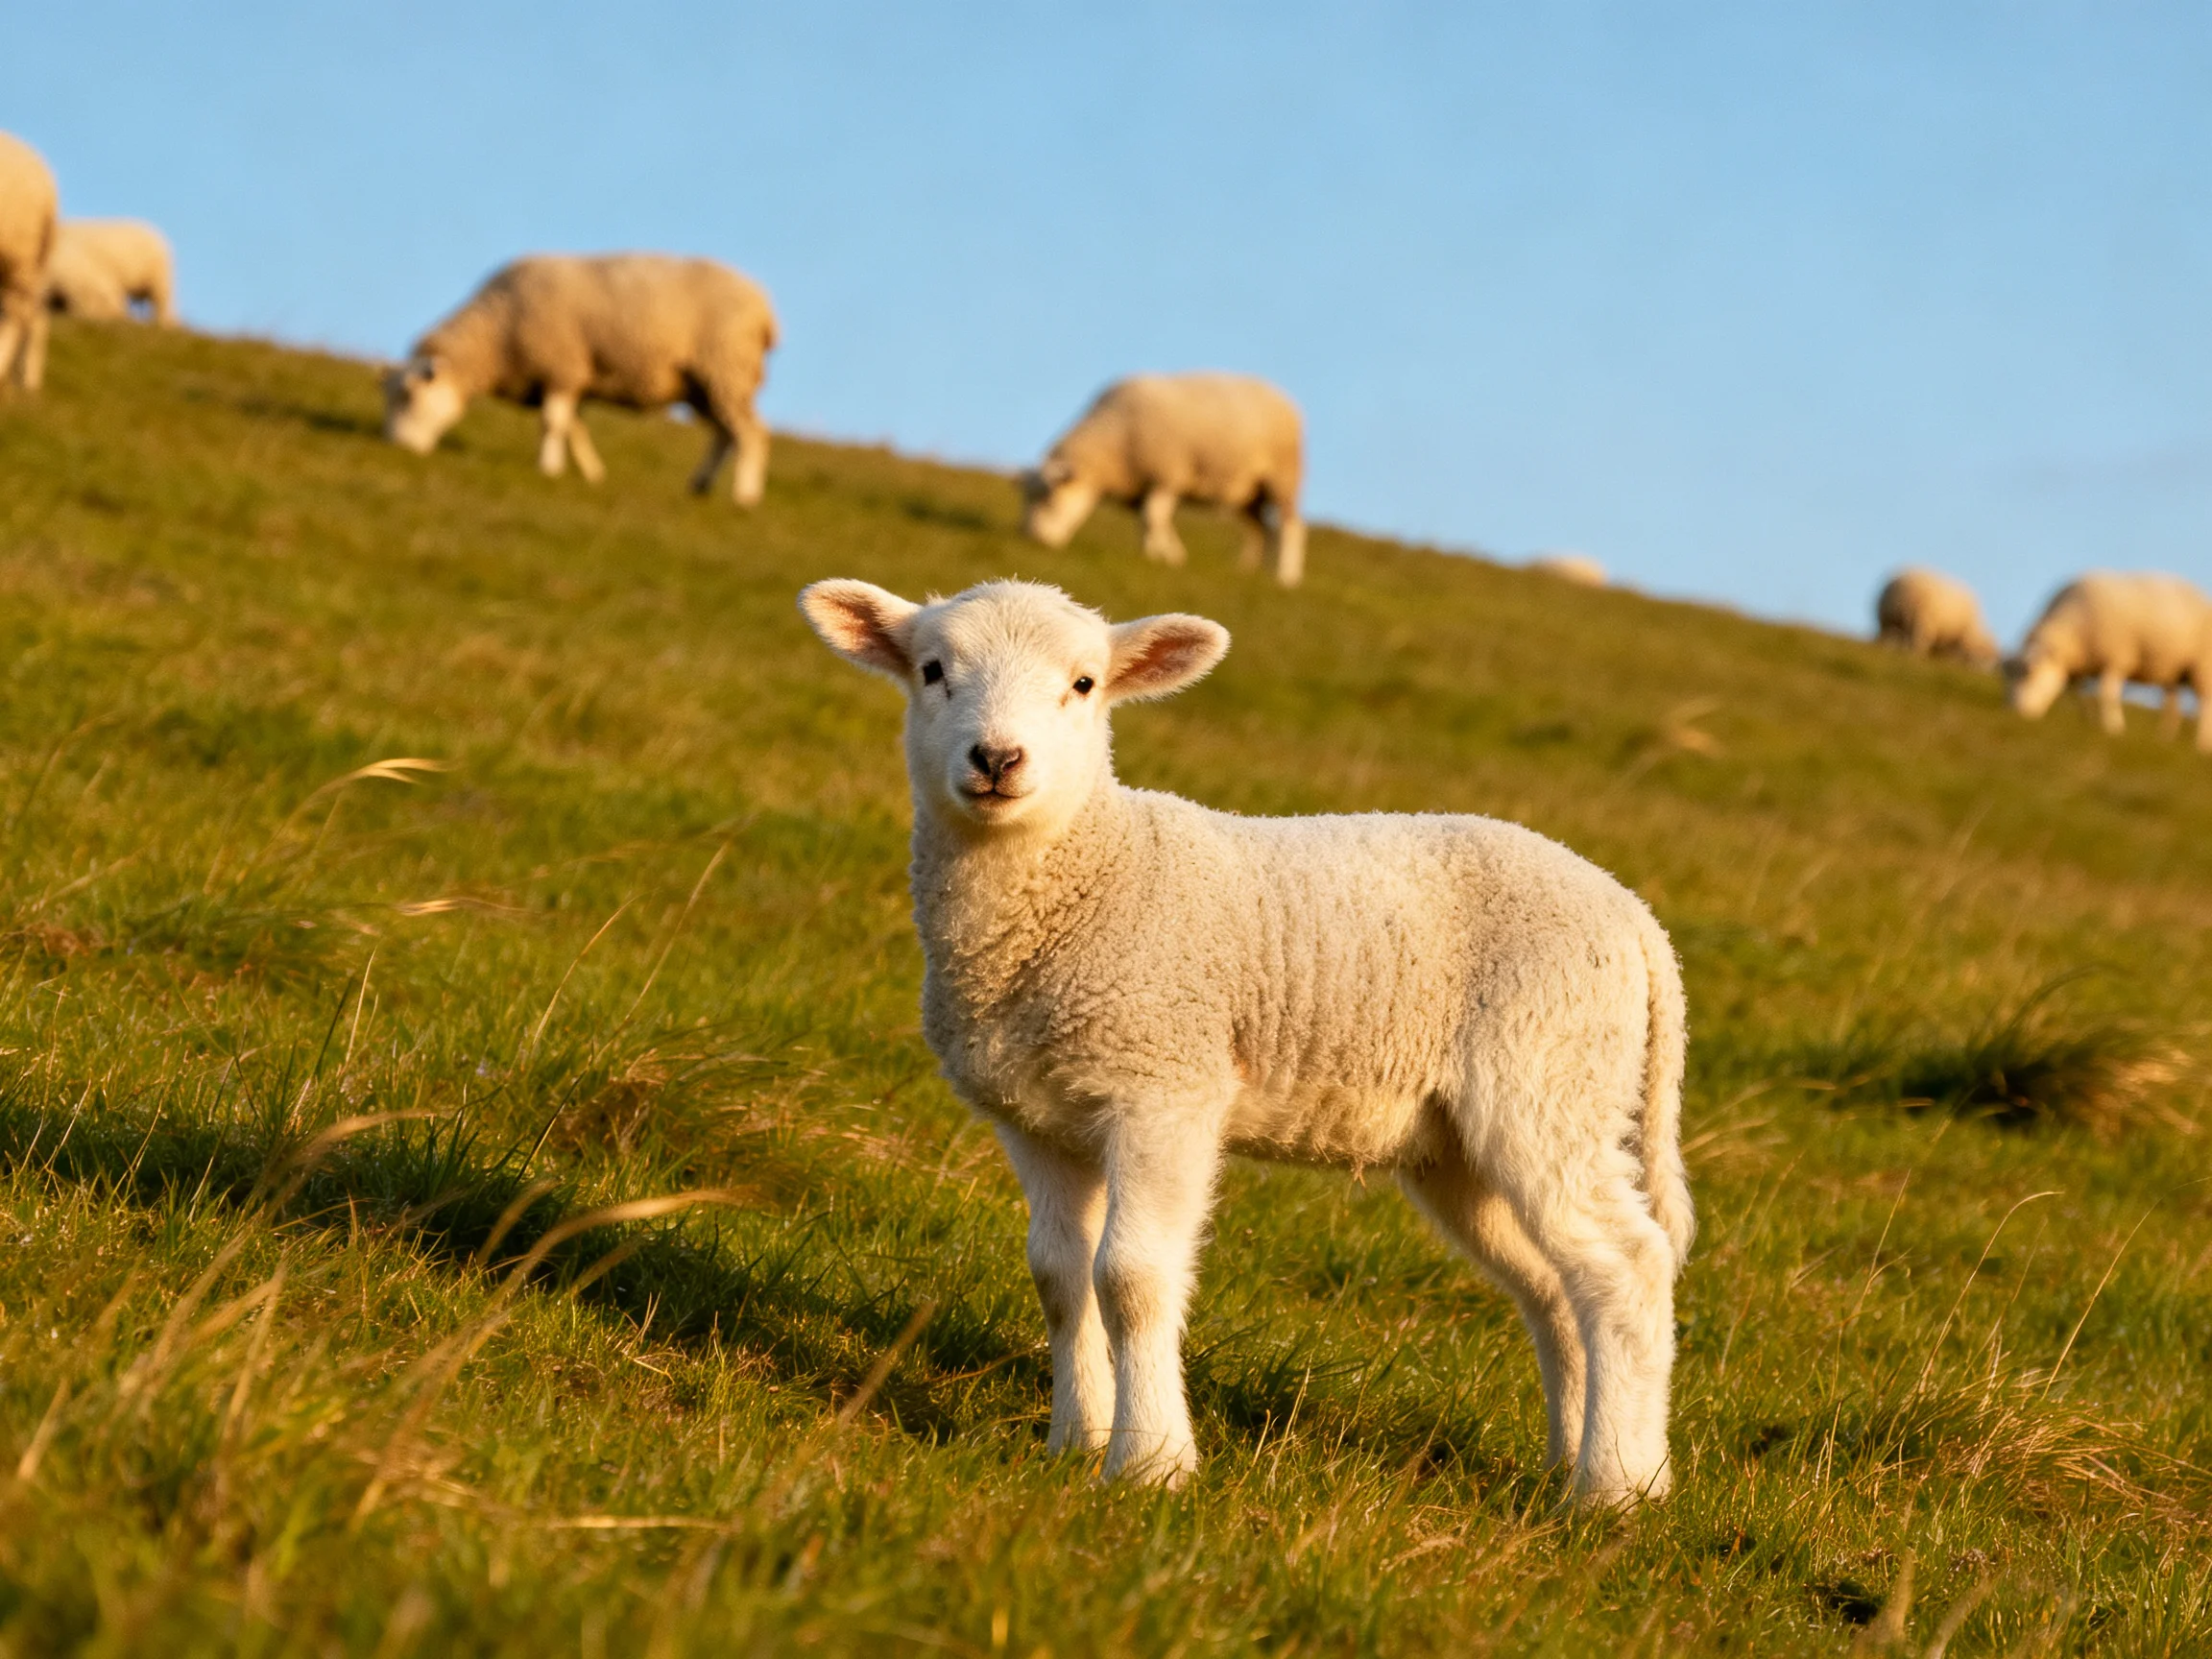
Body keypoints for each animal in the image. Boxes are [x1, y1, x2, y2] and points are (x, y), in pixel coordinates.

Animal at [384, 253, 779, 504]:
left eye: (410, 395)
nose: (396, 447)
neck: (497, 334)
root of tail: (764, 308)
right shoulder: (572, 380)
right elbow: (574, 428)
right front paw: (592, 474)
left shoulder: (561, 370)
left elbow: (553, 423)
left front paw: (547, 468)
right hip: (705, 385)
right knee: (724, 435)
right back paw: (700, 485)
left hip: (727, 369)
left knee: (750, 435)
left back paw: (745, 496)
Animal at [797, 576, 1692, 1506]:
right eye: (933, 670)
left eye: (1084, 684)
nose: (998, 759)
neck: (1085, 879)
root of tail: (1637, 921)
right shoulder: (1036, 1118)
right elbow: (1059, 1278)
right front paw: (1072, 1445)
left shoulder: (1165, 1086)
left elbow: (1130, 1278)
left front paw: (1151, 1463)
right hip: (1462, 1148)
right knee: (1555, 1286)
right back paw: (1568, 1465)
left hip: (1550, 1077)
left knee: (1628, 1264)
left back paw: (1618, 1487)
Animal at [1021, 373, 1308, 587]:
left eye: (1051, 500)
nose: (1033, 539)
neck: (1114, 438)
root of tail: (1281, 395)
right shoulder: (1142, 488)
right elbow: (1150, 522)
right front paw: (1157, 554)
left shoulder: (1166, 476)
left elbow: (1154, 518)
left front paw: (1163, 556)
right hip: (1247, 492)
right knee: (1259, 529)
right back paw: (1247, 569)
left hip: (1283, 476)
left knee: (1290, 527)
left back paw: (1286, 576)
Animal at [1874, 567, 1998, 667]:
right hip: (1921, 619)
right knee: (1918, 641)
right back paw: (1916, 657)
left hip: (1886, 618)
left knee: (1884, 635)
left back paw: (1882, 650)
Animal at [2008, 571, 2212, 750]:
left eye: (2032, 674)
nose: (2018, 712)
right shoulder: (2078, 670)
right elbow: (2079, 695)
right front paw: (2088, 720)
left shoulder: (2114, 661)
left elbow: (2107, 695)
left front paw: (2113, 727)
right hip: (2172, 671)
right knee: (2172, 704)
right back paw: (2165, 738)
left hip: (2202, 666)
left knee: (2205, 704)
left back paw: (2201, 744)